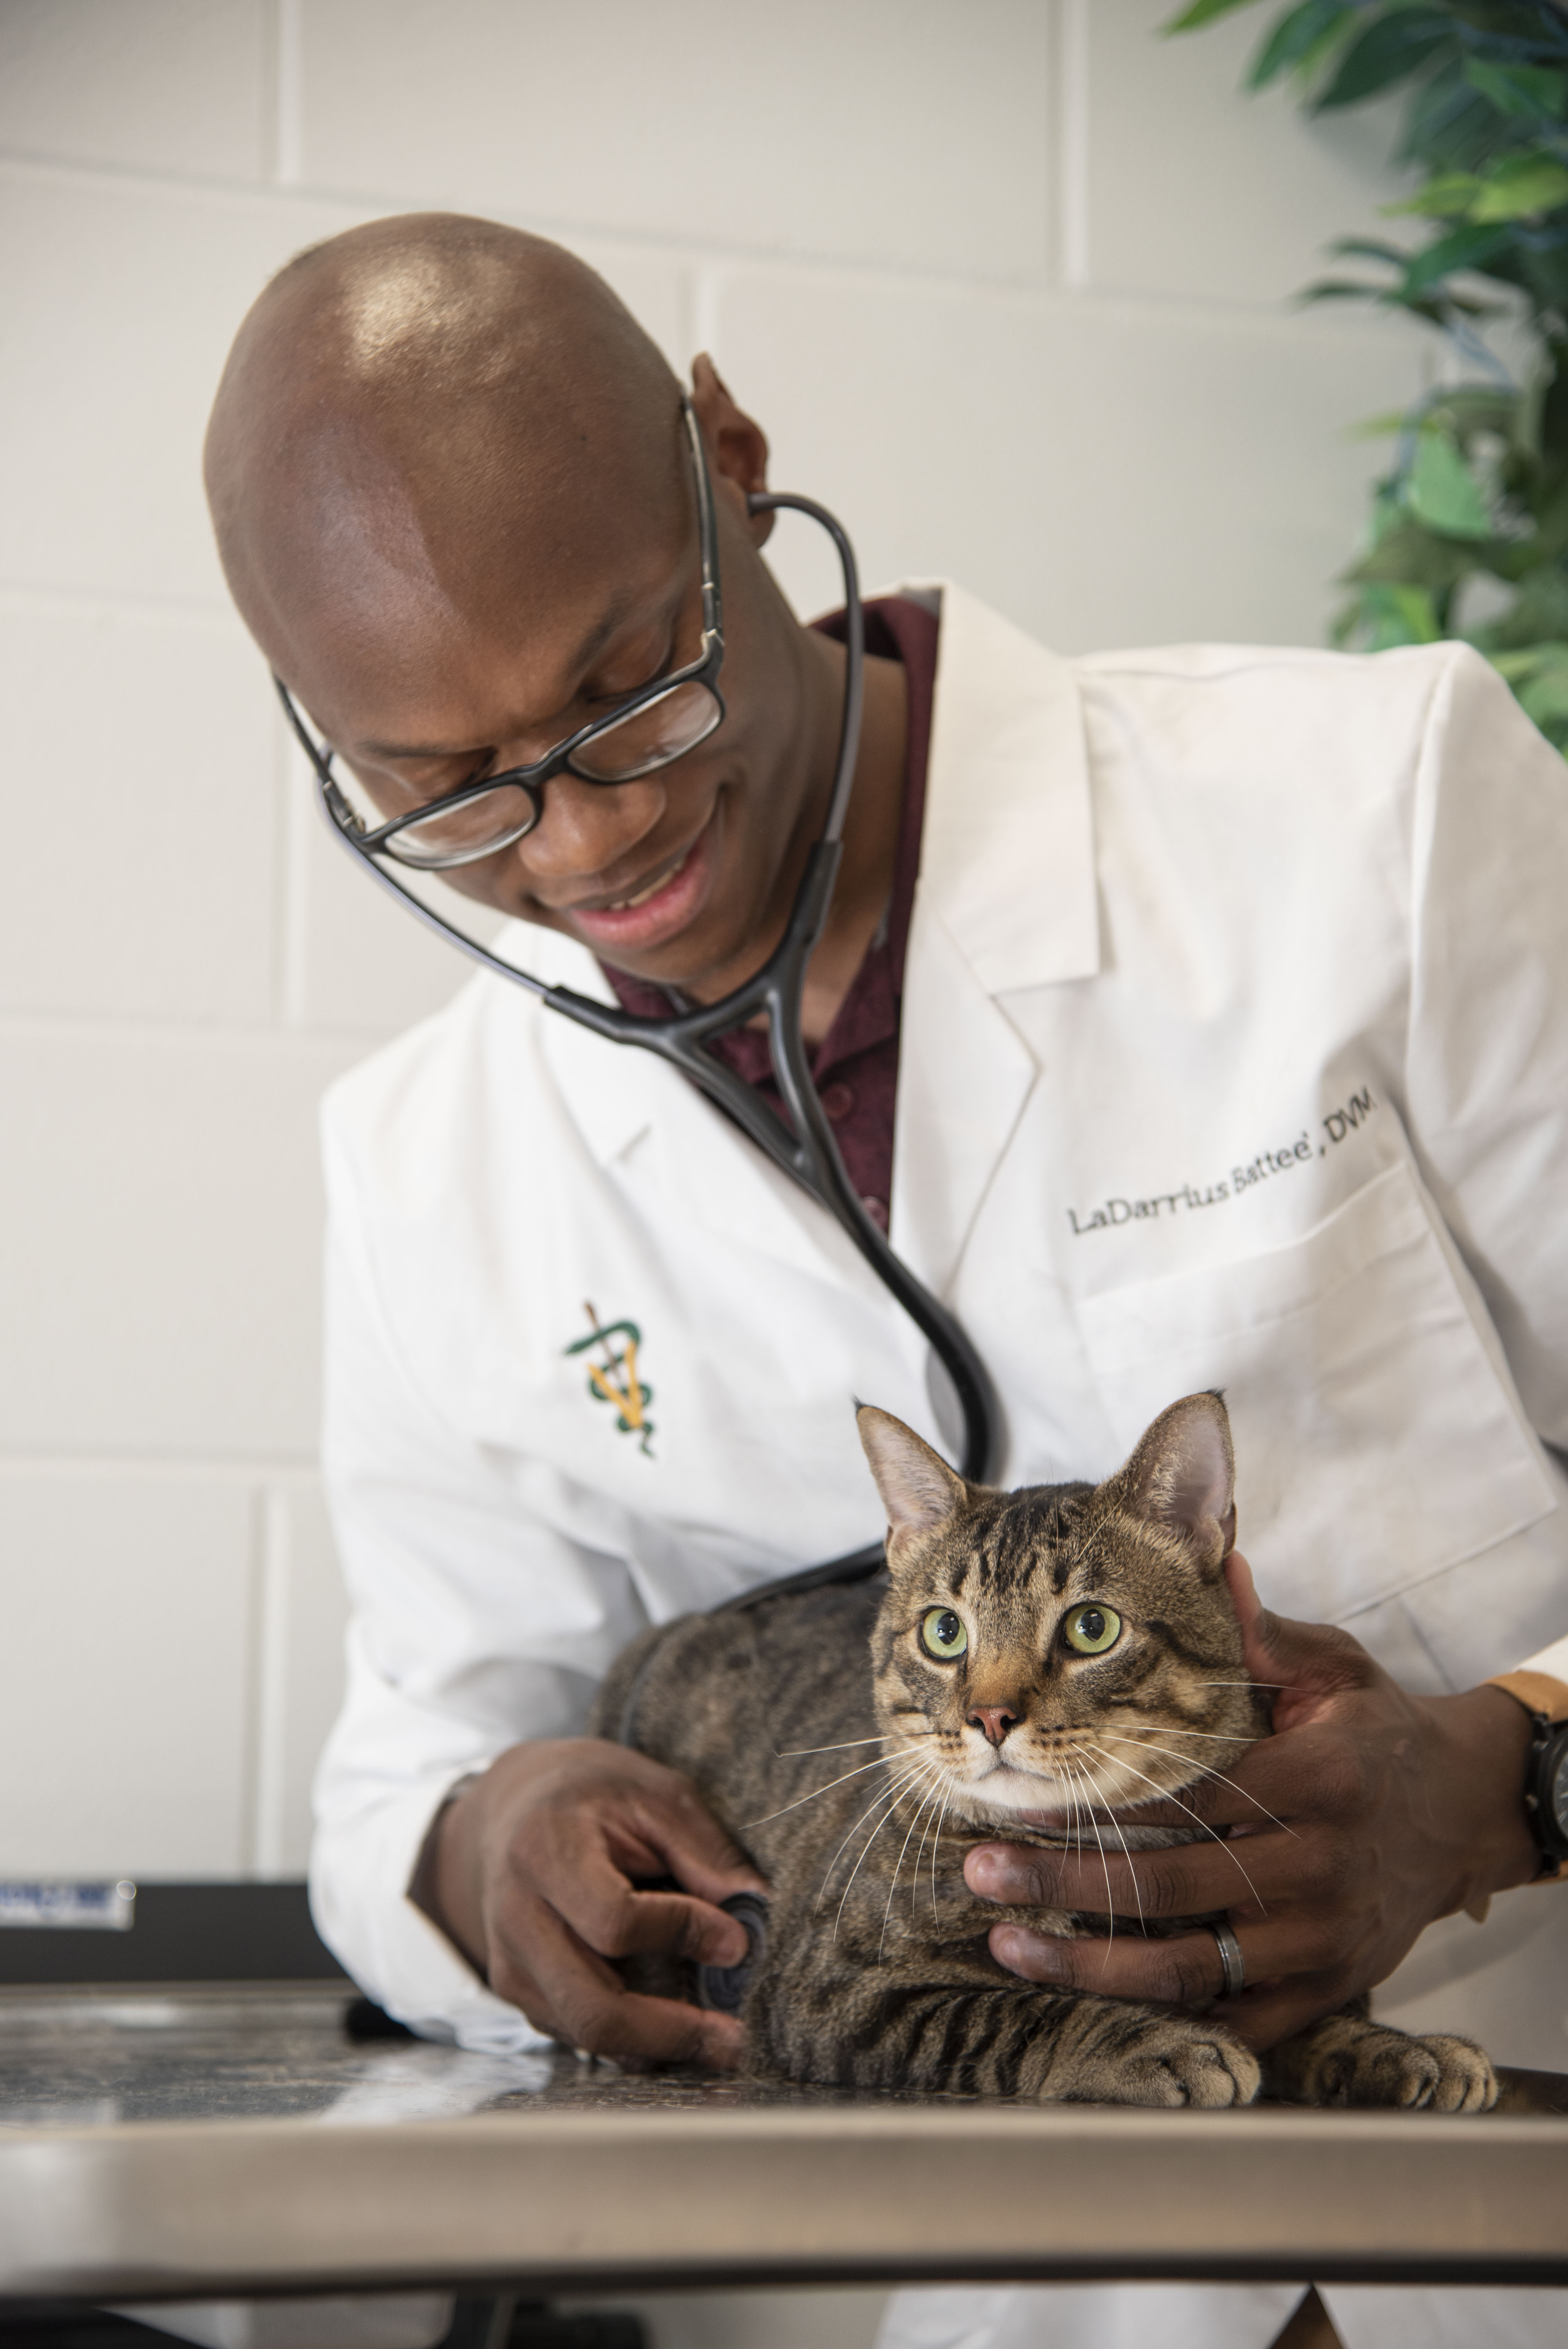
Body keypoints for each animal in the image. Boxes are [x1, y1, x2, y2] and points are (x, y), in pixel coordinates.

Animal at [592, 1381, 1493, 2123]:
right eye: (944, 1631)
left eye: (1091, 1627)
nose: (990, 1714)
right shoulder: (831, 1993)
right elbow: (1012, 2013)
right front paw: (1153, 2040)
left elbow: (1315, 2013)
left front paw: (1392, 2046)